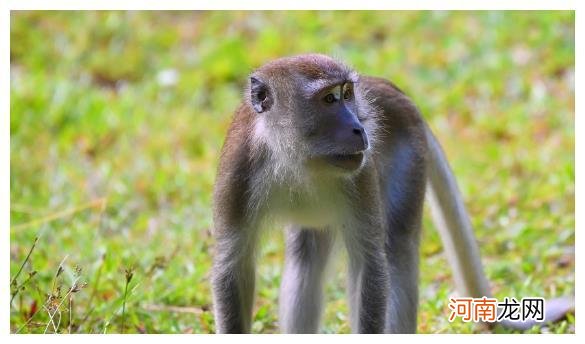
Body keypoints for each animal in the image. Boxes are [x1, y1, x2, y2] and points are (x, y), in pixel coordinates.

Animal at [209, 53, 572, 334]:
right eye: (329, 99)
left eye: (347, 93)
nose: (359, 127)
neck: (293, 158)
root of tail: (390, 90)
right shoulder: (239, 170)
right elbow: (233, 265)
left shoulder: (360, 174)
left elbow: (370, 262)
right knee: (306, 252)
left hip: (408, 151)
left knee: (396, 243)